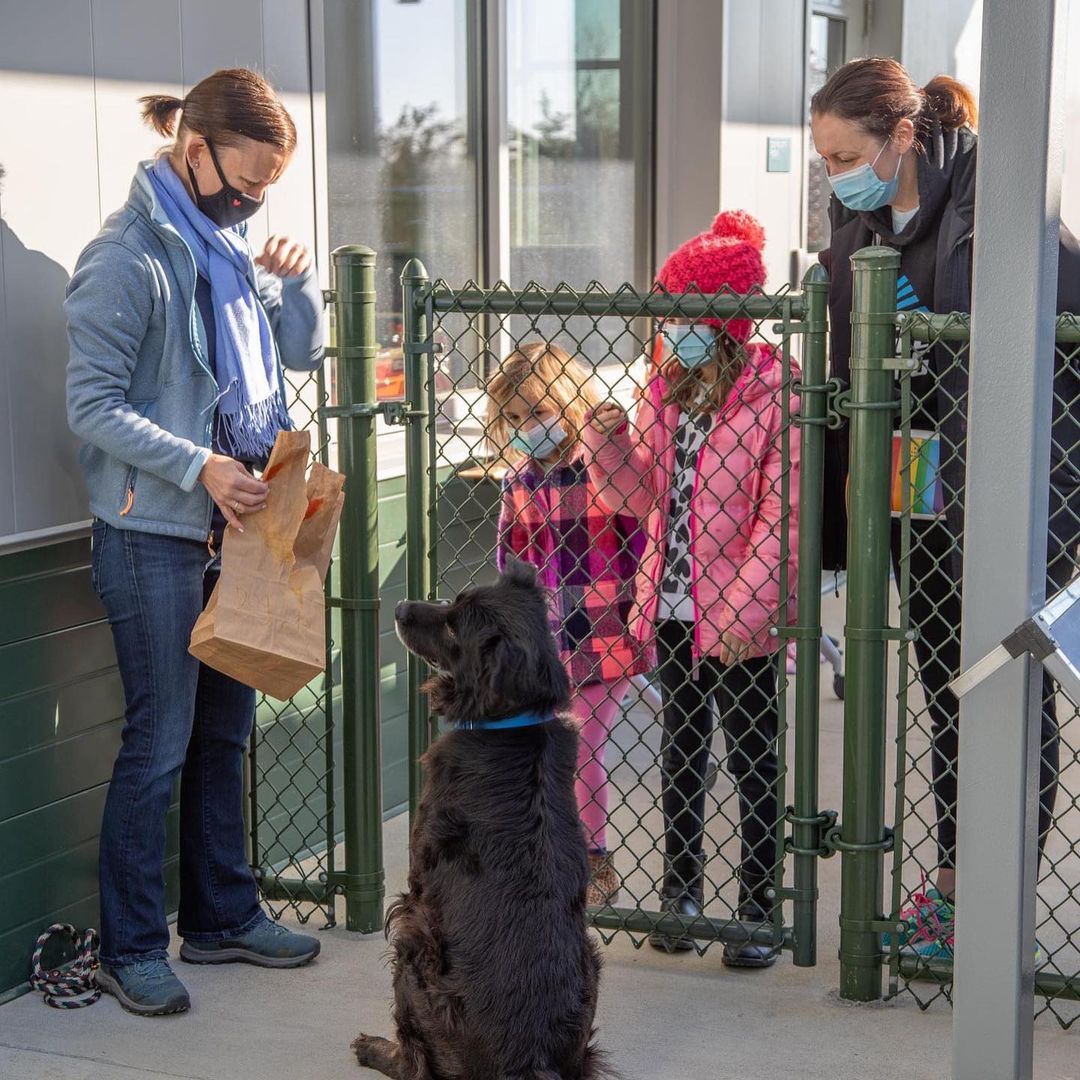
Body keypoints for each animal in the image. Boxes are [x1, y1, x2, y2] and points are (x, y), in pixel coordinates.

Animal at [352, 557, 609, 1080]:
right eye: (453, 600)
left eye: (454, 626)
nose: (400, 606)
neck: (511, 721)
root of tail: (529, 1060)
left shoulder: (417, 886)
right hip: (591, 963)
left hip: (414, 955)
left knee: (414, 1060)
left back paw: (375, 1050)